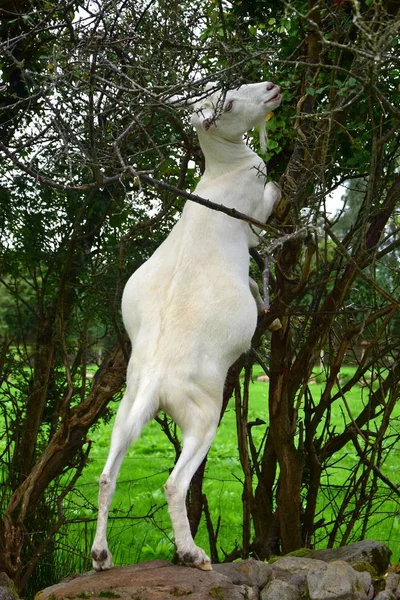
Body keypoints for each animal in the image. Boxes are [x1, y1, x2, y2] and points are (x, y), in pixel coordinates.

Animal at [92, 78, 282, 572]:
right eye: (230, 103)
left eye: (232, 91)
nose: (272, 87)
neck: (220, 174)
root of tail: (157, 380)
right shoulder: (255, 219)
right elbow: (271, 198)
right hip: (203, 416)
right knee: (175, 483)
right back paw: (192, 553)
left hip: (126, 411)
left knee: (106, 475)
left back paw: (101, 555)